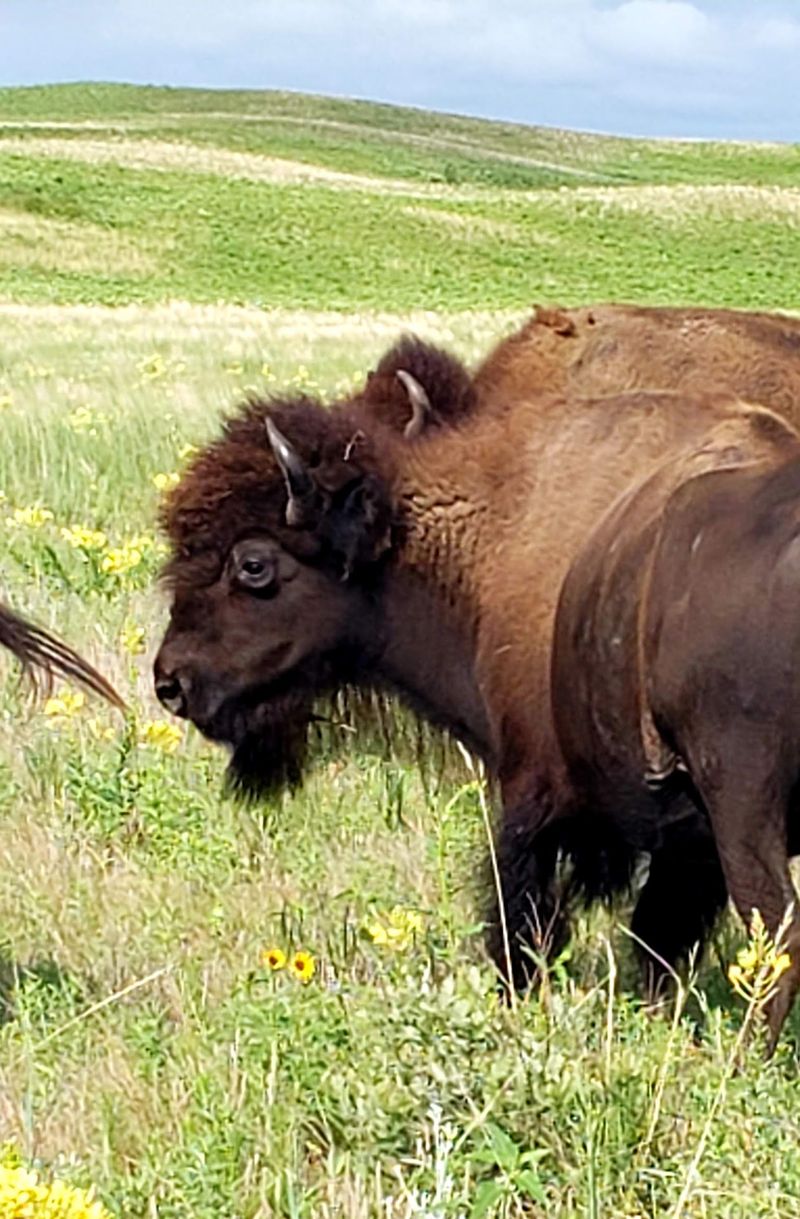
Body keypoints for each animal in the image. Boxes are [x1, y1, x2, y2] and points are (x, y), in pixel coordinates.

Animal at [153, 313, 800, 1045]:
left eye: (254, 564)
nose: (172, 679)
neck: (483, 532)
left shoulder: (535, 793)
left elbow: (522, 927)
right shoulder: (682, 845)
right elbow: (655, 943)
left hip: (744, 799)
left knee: (776, 936)